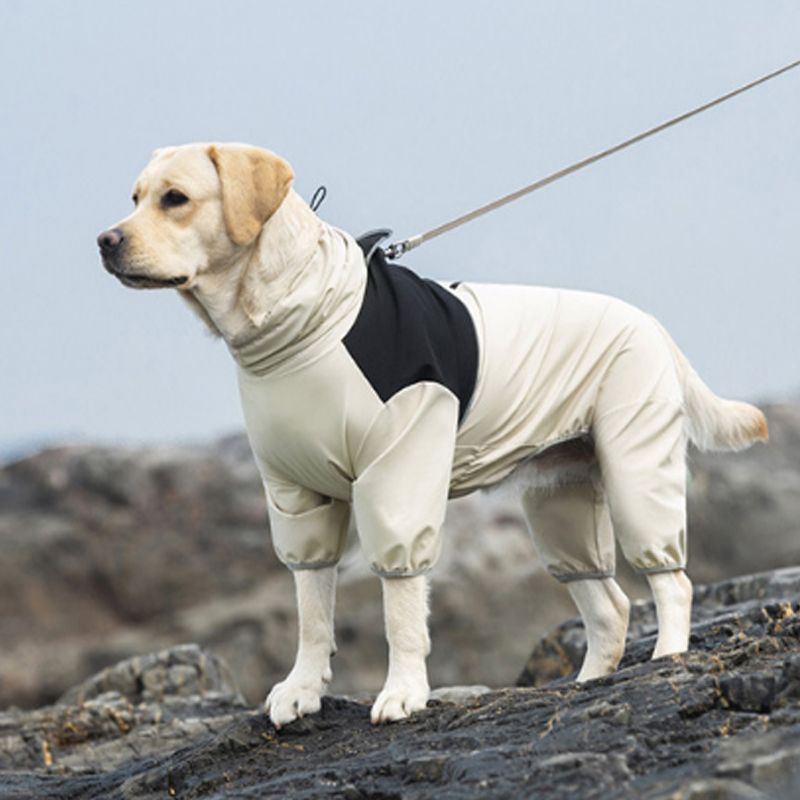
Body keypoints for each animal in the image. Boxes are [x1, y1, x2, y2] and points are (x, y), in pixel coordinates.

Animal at [100, 142, 768, 724]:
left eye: (176, 199)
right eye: (134, 197)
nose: (106, 241)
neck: (299, 317)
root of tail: (651, 324)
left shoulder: (398, 476)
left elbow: (399, 609)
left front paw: (402, 694)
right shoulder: (295, 496)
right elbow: (311, 609)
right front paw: (302, 690)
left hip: (636, 470)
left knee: (673, 582)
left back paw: (667, 659)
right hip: (559, 502)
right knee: (610, 606)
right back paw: (587, 684)